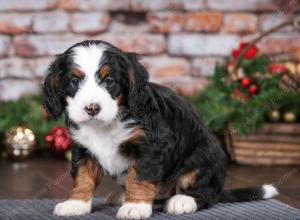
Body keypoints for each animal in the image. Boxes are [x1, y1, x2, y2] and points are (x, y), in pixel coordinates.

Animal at [42, 40, 278, 219]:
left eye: (109, 80)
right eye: (74, 81)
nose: (92, 108)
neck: (107, 124)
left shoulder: (151, 145)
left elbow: (139, 177)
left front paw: (135, 206)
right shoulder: (83, 148)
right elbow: (83, 177)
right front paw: (76, 203)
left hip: (205, 156)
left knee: (205, 193)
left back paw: (182, 200)